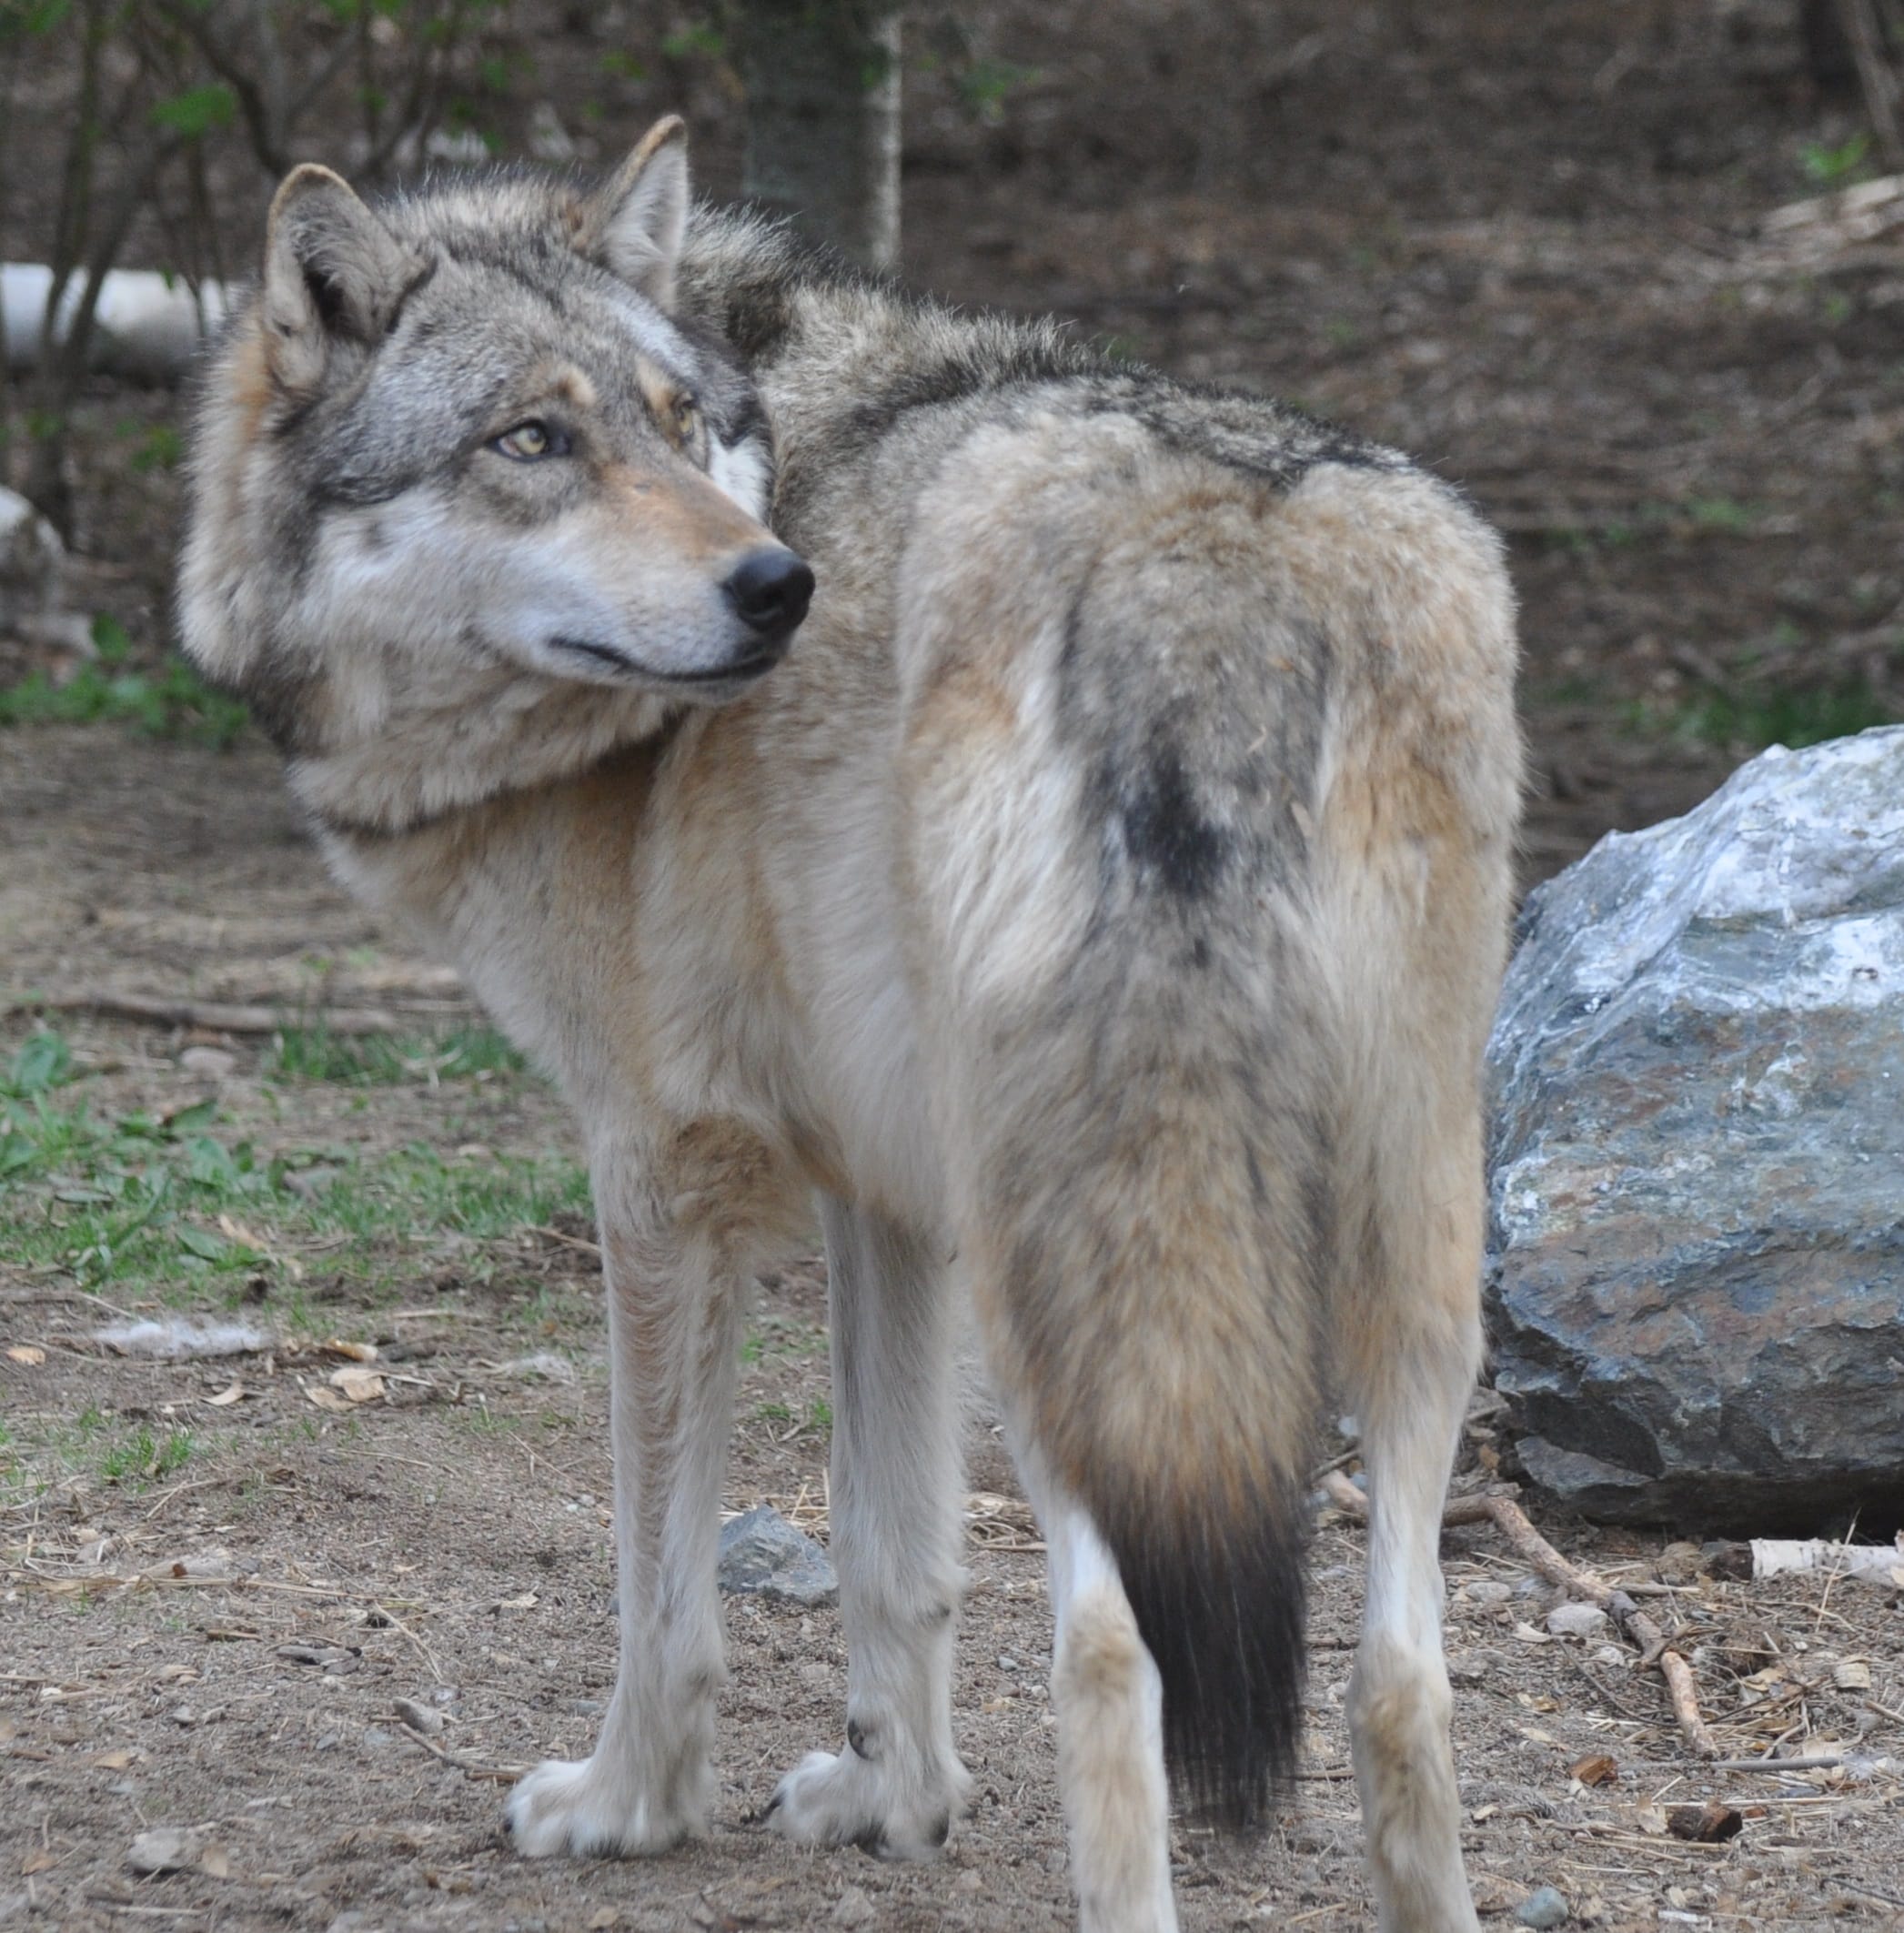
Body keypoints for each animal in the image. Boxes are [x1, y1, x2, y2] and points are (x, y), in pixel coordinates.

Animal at [177, 116, 1515, 1933]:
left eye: (675, 423)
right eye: (533, 440)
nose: (776, 587)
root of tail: (1202, 559)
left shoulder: (657, 1175)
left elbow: (657, 1573)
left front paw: (626, 1805)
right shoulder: (883, 1192)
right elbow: (892, 1550)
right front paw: (900, 1800)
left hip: (1069, 1268)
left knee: (1114, 1659)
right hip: (1402, 1258)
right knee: (1399, 1679)